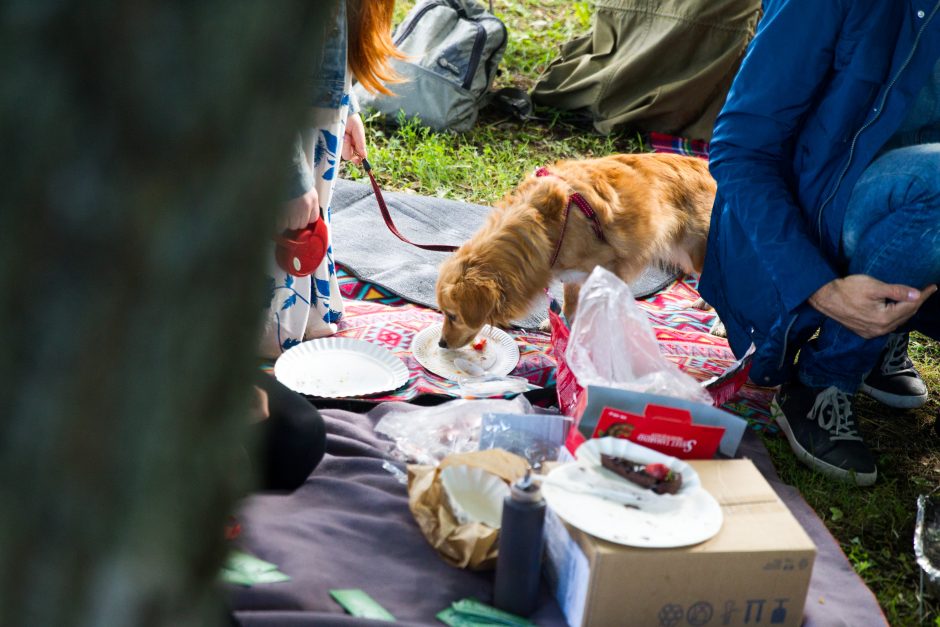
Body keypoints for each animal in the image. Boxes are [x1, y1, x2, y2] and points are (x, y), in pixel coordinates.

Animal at [436, 152, 716, 348]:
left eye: (453, 316)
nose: (441, 343)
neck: (544, 224)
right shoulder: (572, 273)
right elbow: (571, 305)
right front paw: (562, 326)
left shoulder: (609, 269)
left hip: (698, 252)